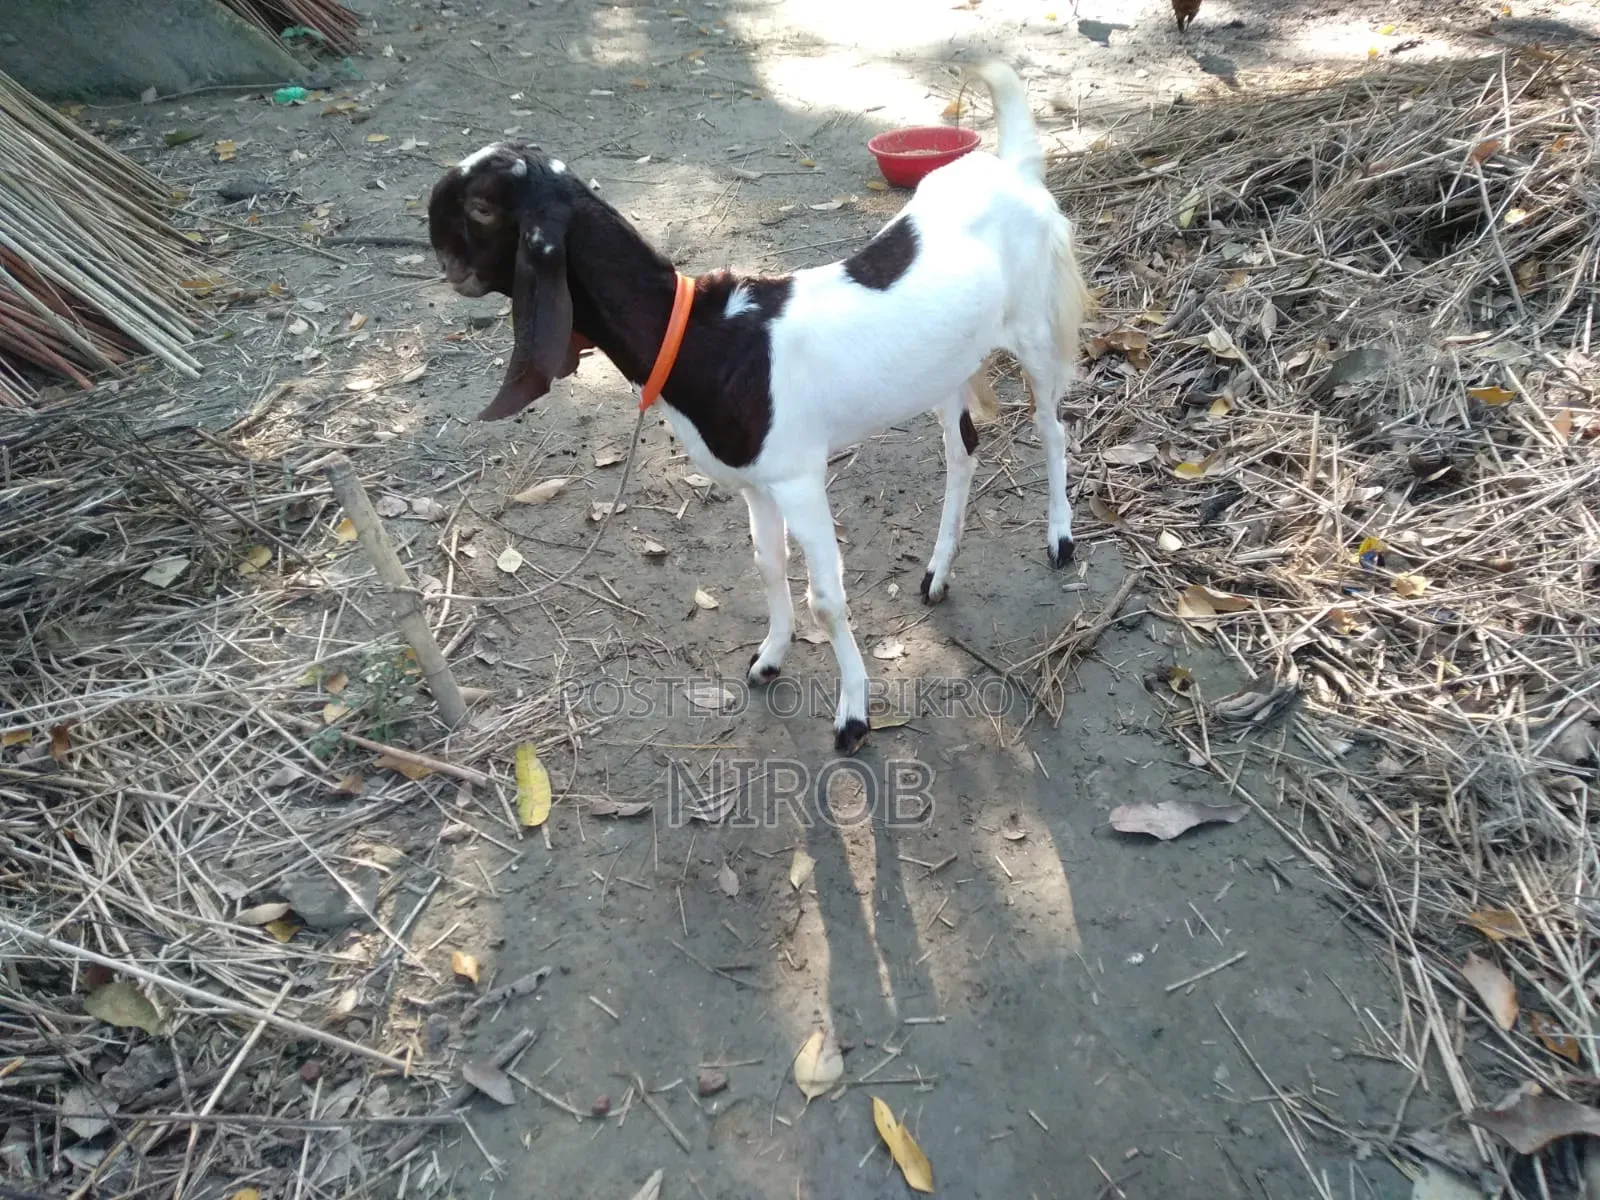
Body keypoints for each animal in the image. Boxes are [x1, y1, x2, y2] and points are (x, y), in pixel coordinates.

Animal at [428, 60, 1091, 754]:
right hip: (946, 366)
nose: (441, 258)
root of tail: (1014, 168)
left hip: (1035, 330)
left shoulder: (800, 478)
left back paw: (1060, 538)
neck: (706, 338)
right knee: (963, 451)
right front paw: (770, 658)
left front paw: (853, 715)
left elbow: (825, 597)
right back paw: (938, 572)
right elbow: (767, 566)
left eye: (482, 206)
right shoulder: (755, 482)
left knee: (1051, 428)